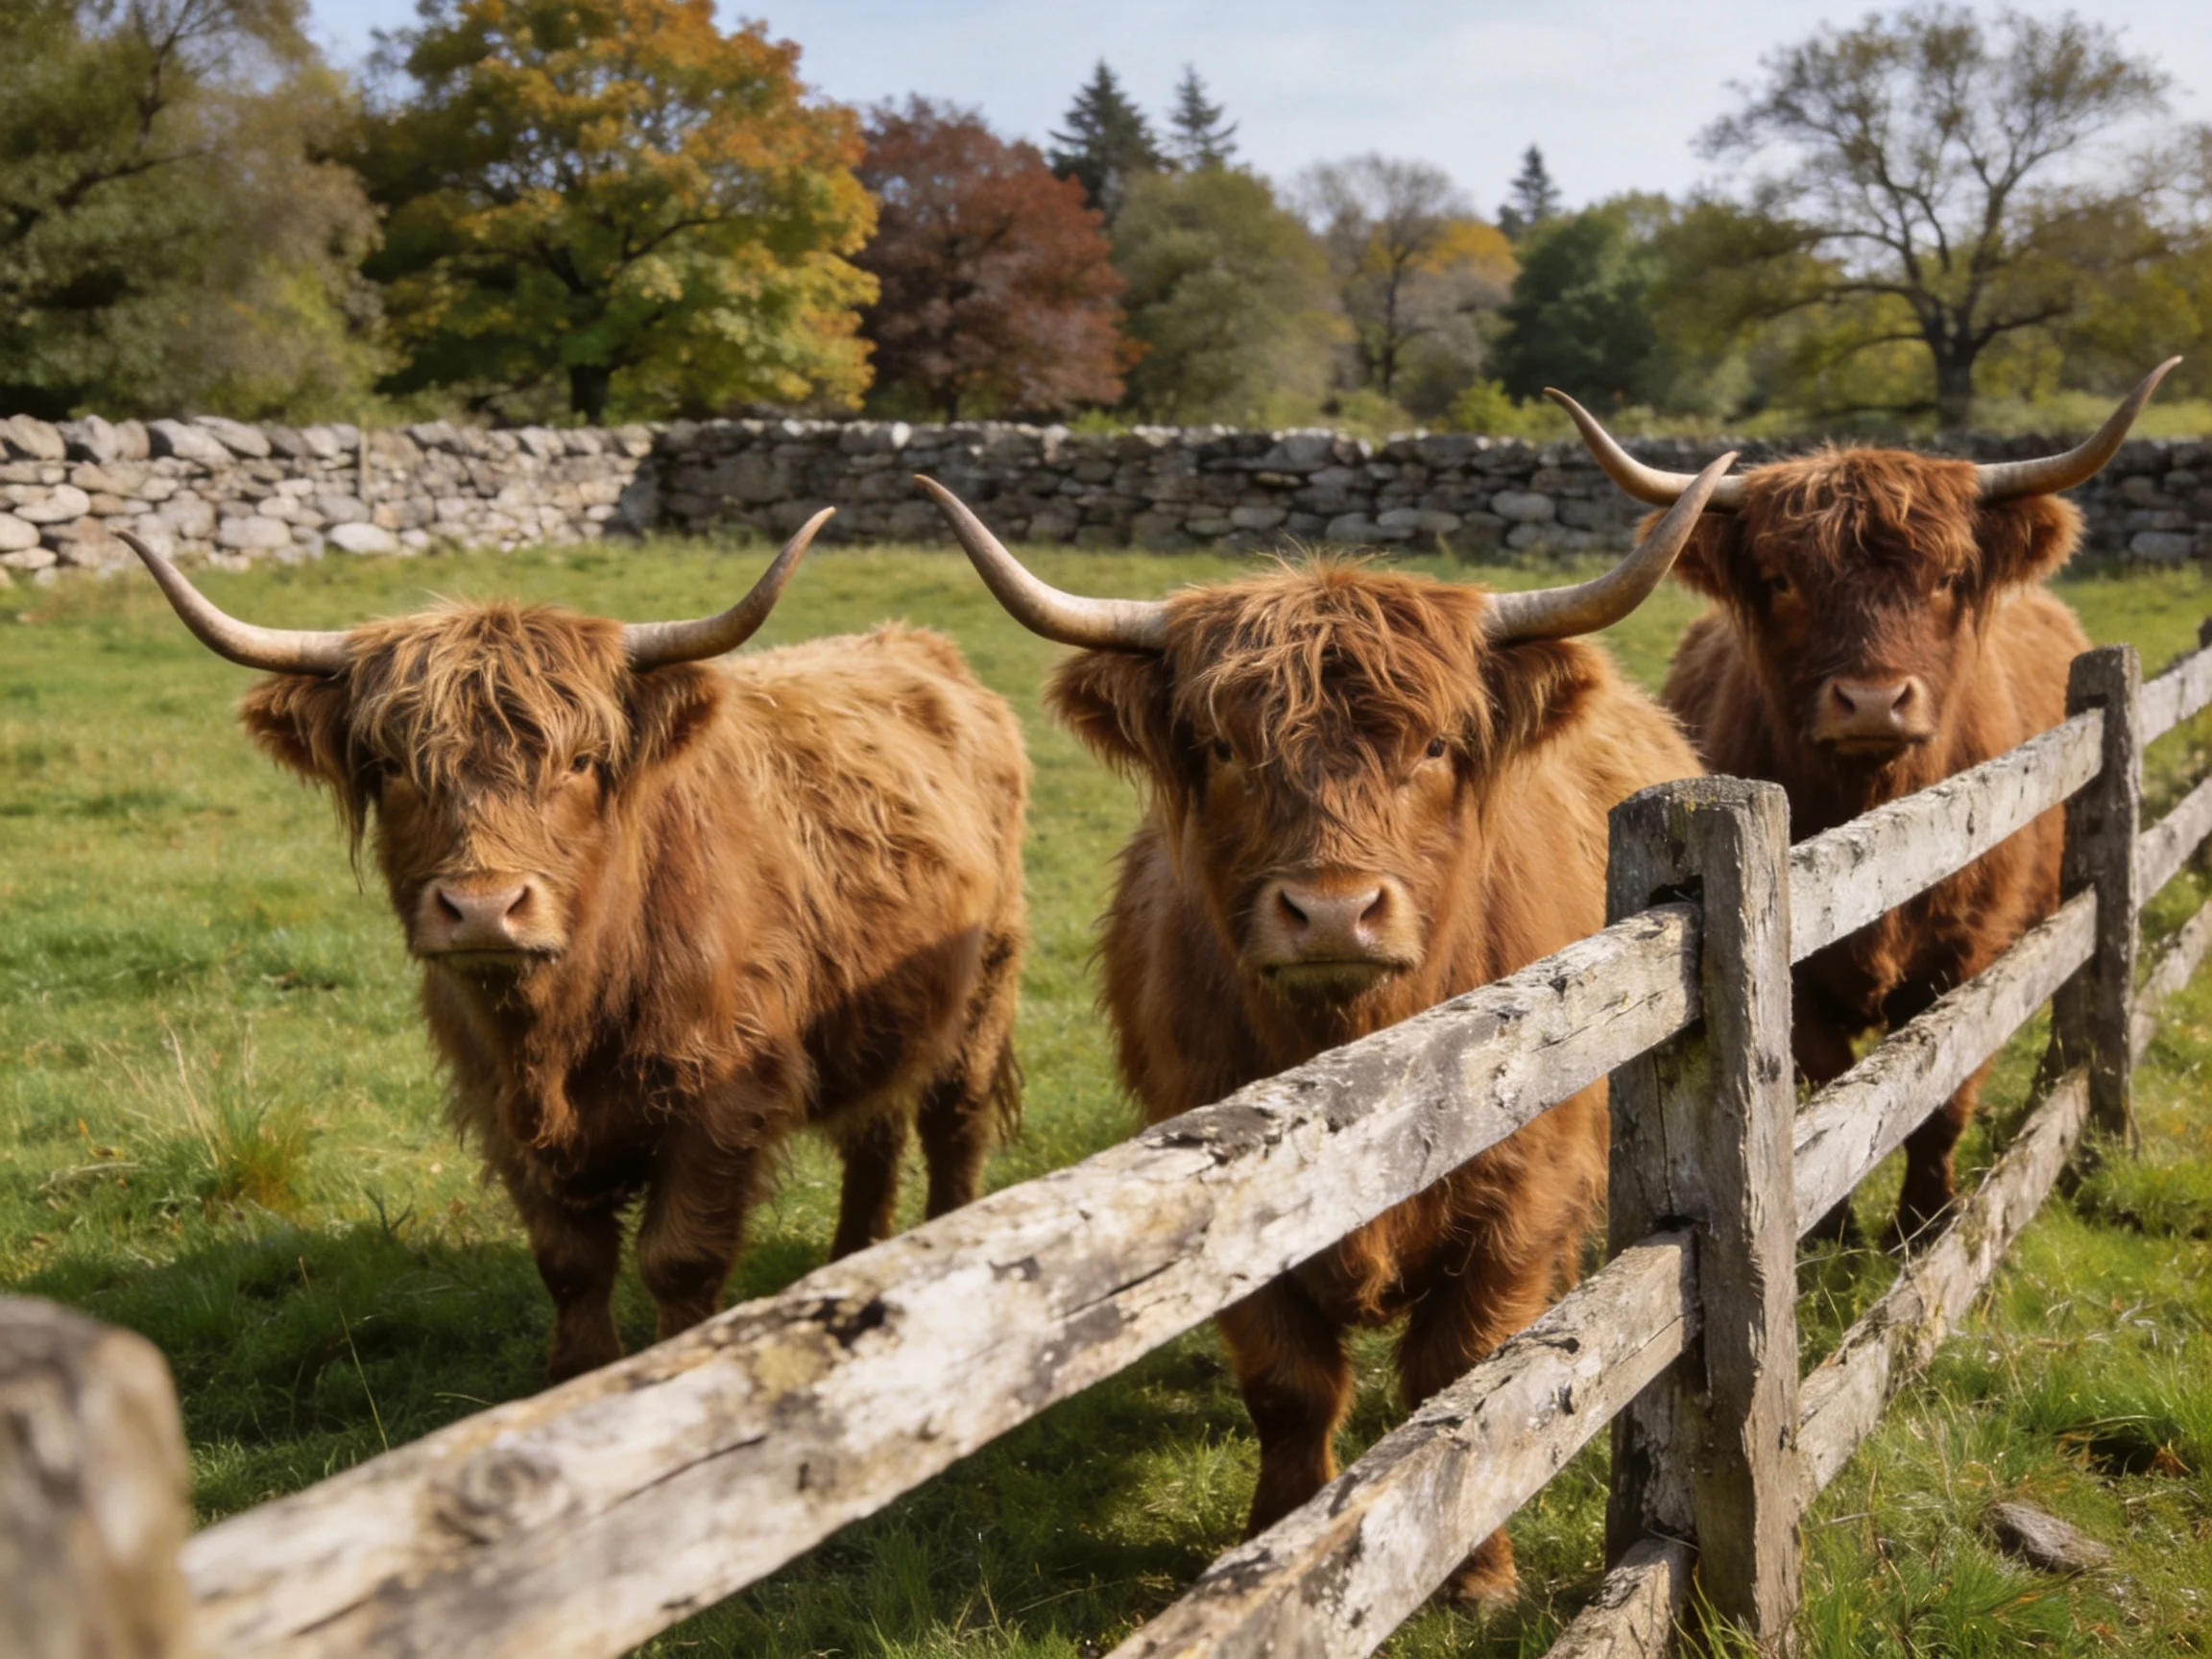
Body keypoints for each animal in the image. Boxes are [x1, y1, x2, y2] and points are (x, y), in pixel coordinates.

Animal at [121, 519, 1029, 1382]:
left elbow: (679, 1261)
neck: (562, 1027)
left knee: (954, 1125)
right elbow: (570, 1265)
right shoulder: (503, 1111)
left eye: (583, 761)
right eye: (392, 765)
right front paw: (575, 1379)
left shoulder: (722, 1100)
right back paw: (855, 1262)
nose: (483, 909)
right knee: (873, 1131)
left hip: (985, 988)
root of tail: (912, 643)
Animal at [918, 460, 1728, 1606]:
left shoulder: (1518, 1194)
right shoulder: (1224, 1203)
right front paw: (1280, 1538)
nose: (1335, 912)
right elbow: (1290, 1385)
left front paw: (1476, 1572)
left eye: (1434, 745)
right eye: (1224, 748)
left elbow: (1464, 1373)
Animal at [1549, 360, 2178, 1247]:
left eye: (1946, 577)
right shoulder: (1797, 979)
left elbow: (1946, 1086)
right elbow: (1826, 1084)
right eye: (1782, 581)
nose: (1874, 702)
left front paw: (1925, 1220)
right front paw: (1831, 1230)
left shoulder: (1971, 949)